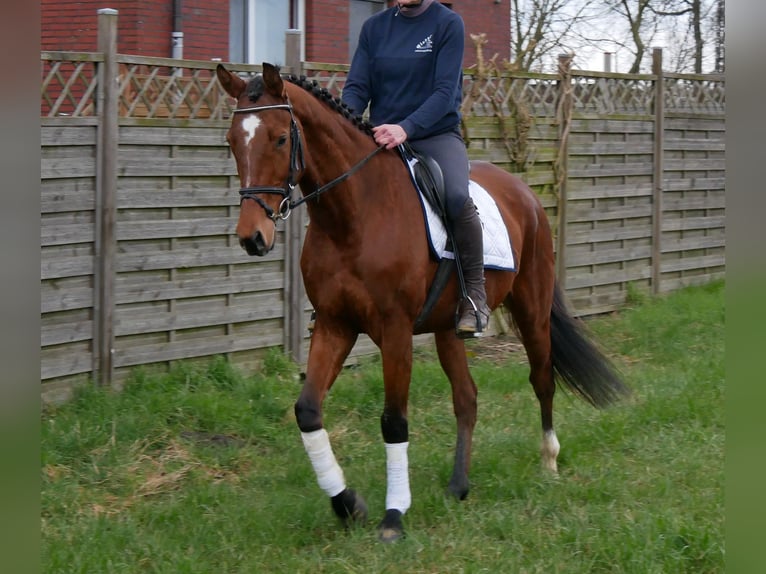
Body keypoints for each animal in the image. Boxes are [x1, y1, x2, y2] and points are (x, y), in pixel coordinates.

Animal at [216, 63, 632, 544]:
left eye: (281, 138)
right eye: (232, 141)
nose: (253, 237)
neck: (354, 215)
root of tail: (524, 193)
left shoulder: (394, 331)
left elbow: (394, 420)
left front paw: (393, 516)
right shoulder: (336, 326)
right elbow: (308, 411)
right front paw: (348, 505)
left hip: (532, 309)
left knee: (541, 378)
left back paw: (548, 460)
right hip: (448, 328)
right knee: (467, 397)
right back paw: (458, 486)